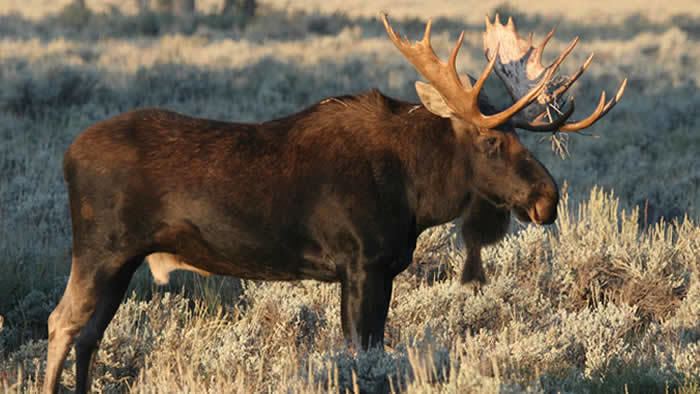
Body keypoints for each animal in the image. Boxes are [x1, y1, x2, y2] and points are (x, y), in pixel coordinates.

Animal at [42, 13, 624, 392]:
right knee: (61, 323)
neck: (417, 194)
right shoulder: (362, 263)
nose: (547, 197)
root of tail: (67, 154)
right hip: (100, 249)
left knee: (88, 333)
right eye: (490, 141)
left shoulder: (373, 268)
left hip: (125, 260)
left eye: (520, 138)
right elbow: (361, 353)